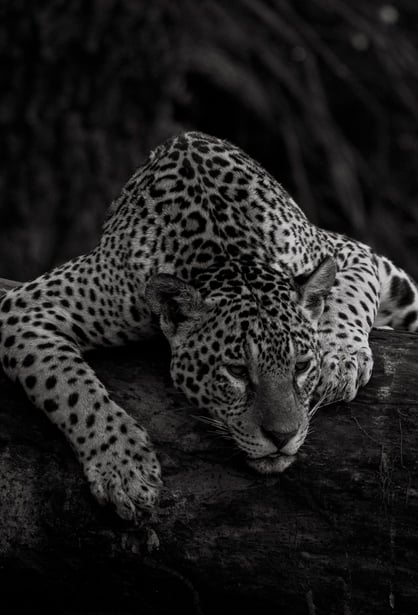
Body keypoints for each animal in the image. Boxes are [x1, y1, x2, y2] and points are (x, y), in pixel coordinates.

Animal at [0, 132, 418, 524]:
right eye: (236, 372)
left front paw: (340, 359)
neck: (227, 253)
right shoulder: (26, 306)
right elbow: (71, 390)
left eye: (301, 367)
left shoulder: (350, 252)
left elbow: (350, 295)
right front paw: (124, 468)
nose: (282, 437)